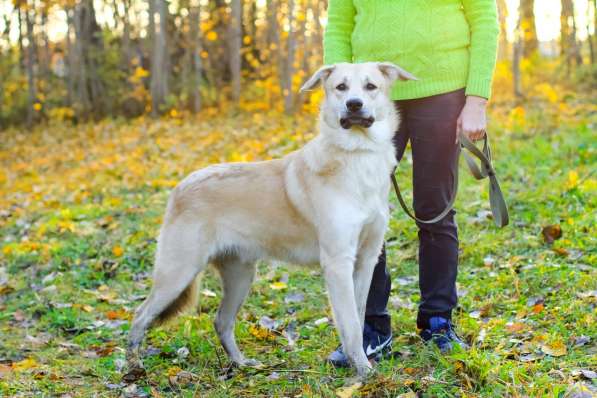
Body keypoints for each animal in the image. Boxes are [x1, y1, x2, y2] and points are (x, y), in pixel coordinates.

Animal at [125, 61, 414, 376]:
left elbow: (359, 316)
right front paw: (362, 369)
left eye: (370, 86)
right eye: (341, 87)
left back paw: (241, 364)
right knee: (140, 316)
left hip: (240, 275)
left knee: (221, 321)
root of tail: (180, 187)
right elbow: (349, 322)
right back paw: (134, 367)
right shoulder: (338, 262)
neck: (358, 153)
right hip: (178, 272)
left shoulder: (366, 259)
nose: (354, 104)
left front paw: (360, 360)